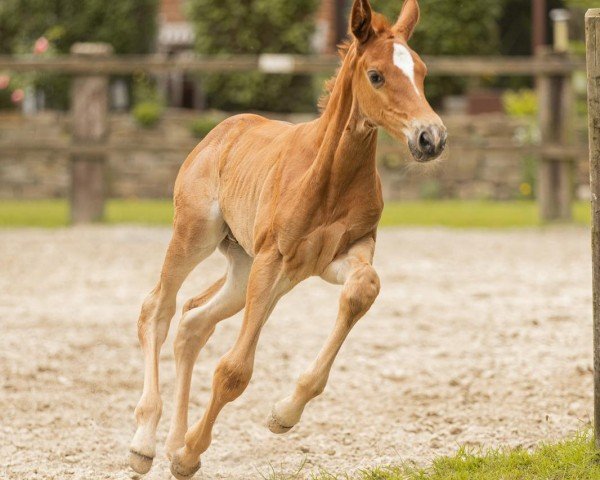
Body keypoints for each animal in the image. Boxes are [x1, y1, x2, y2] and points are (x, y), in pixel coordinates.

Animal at [130, 0, 446, 476]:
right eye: (376, 75)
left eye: (422, 72)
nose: (431, 137)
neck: (328, 176)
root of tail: (220, 131)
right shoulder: (274, 259)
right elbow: (234, 371)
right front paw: (188, 456)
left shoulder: (339, 255)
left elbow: (363, 289)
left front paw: (284, 414)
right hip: (196, 236)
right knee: (158, 310)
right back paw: (146, 443)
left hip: (244, 269)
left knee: (193, 321)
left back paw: (173, 440)